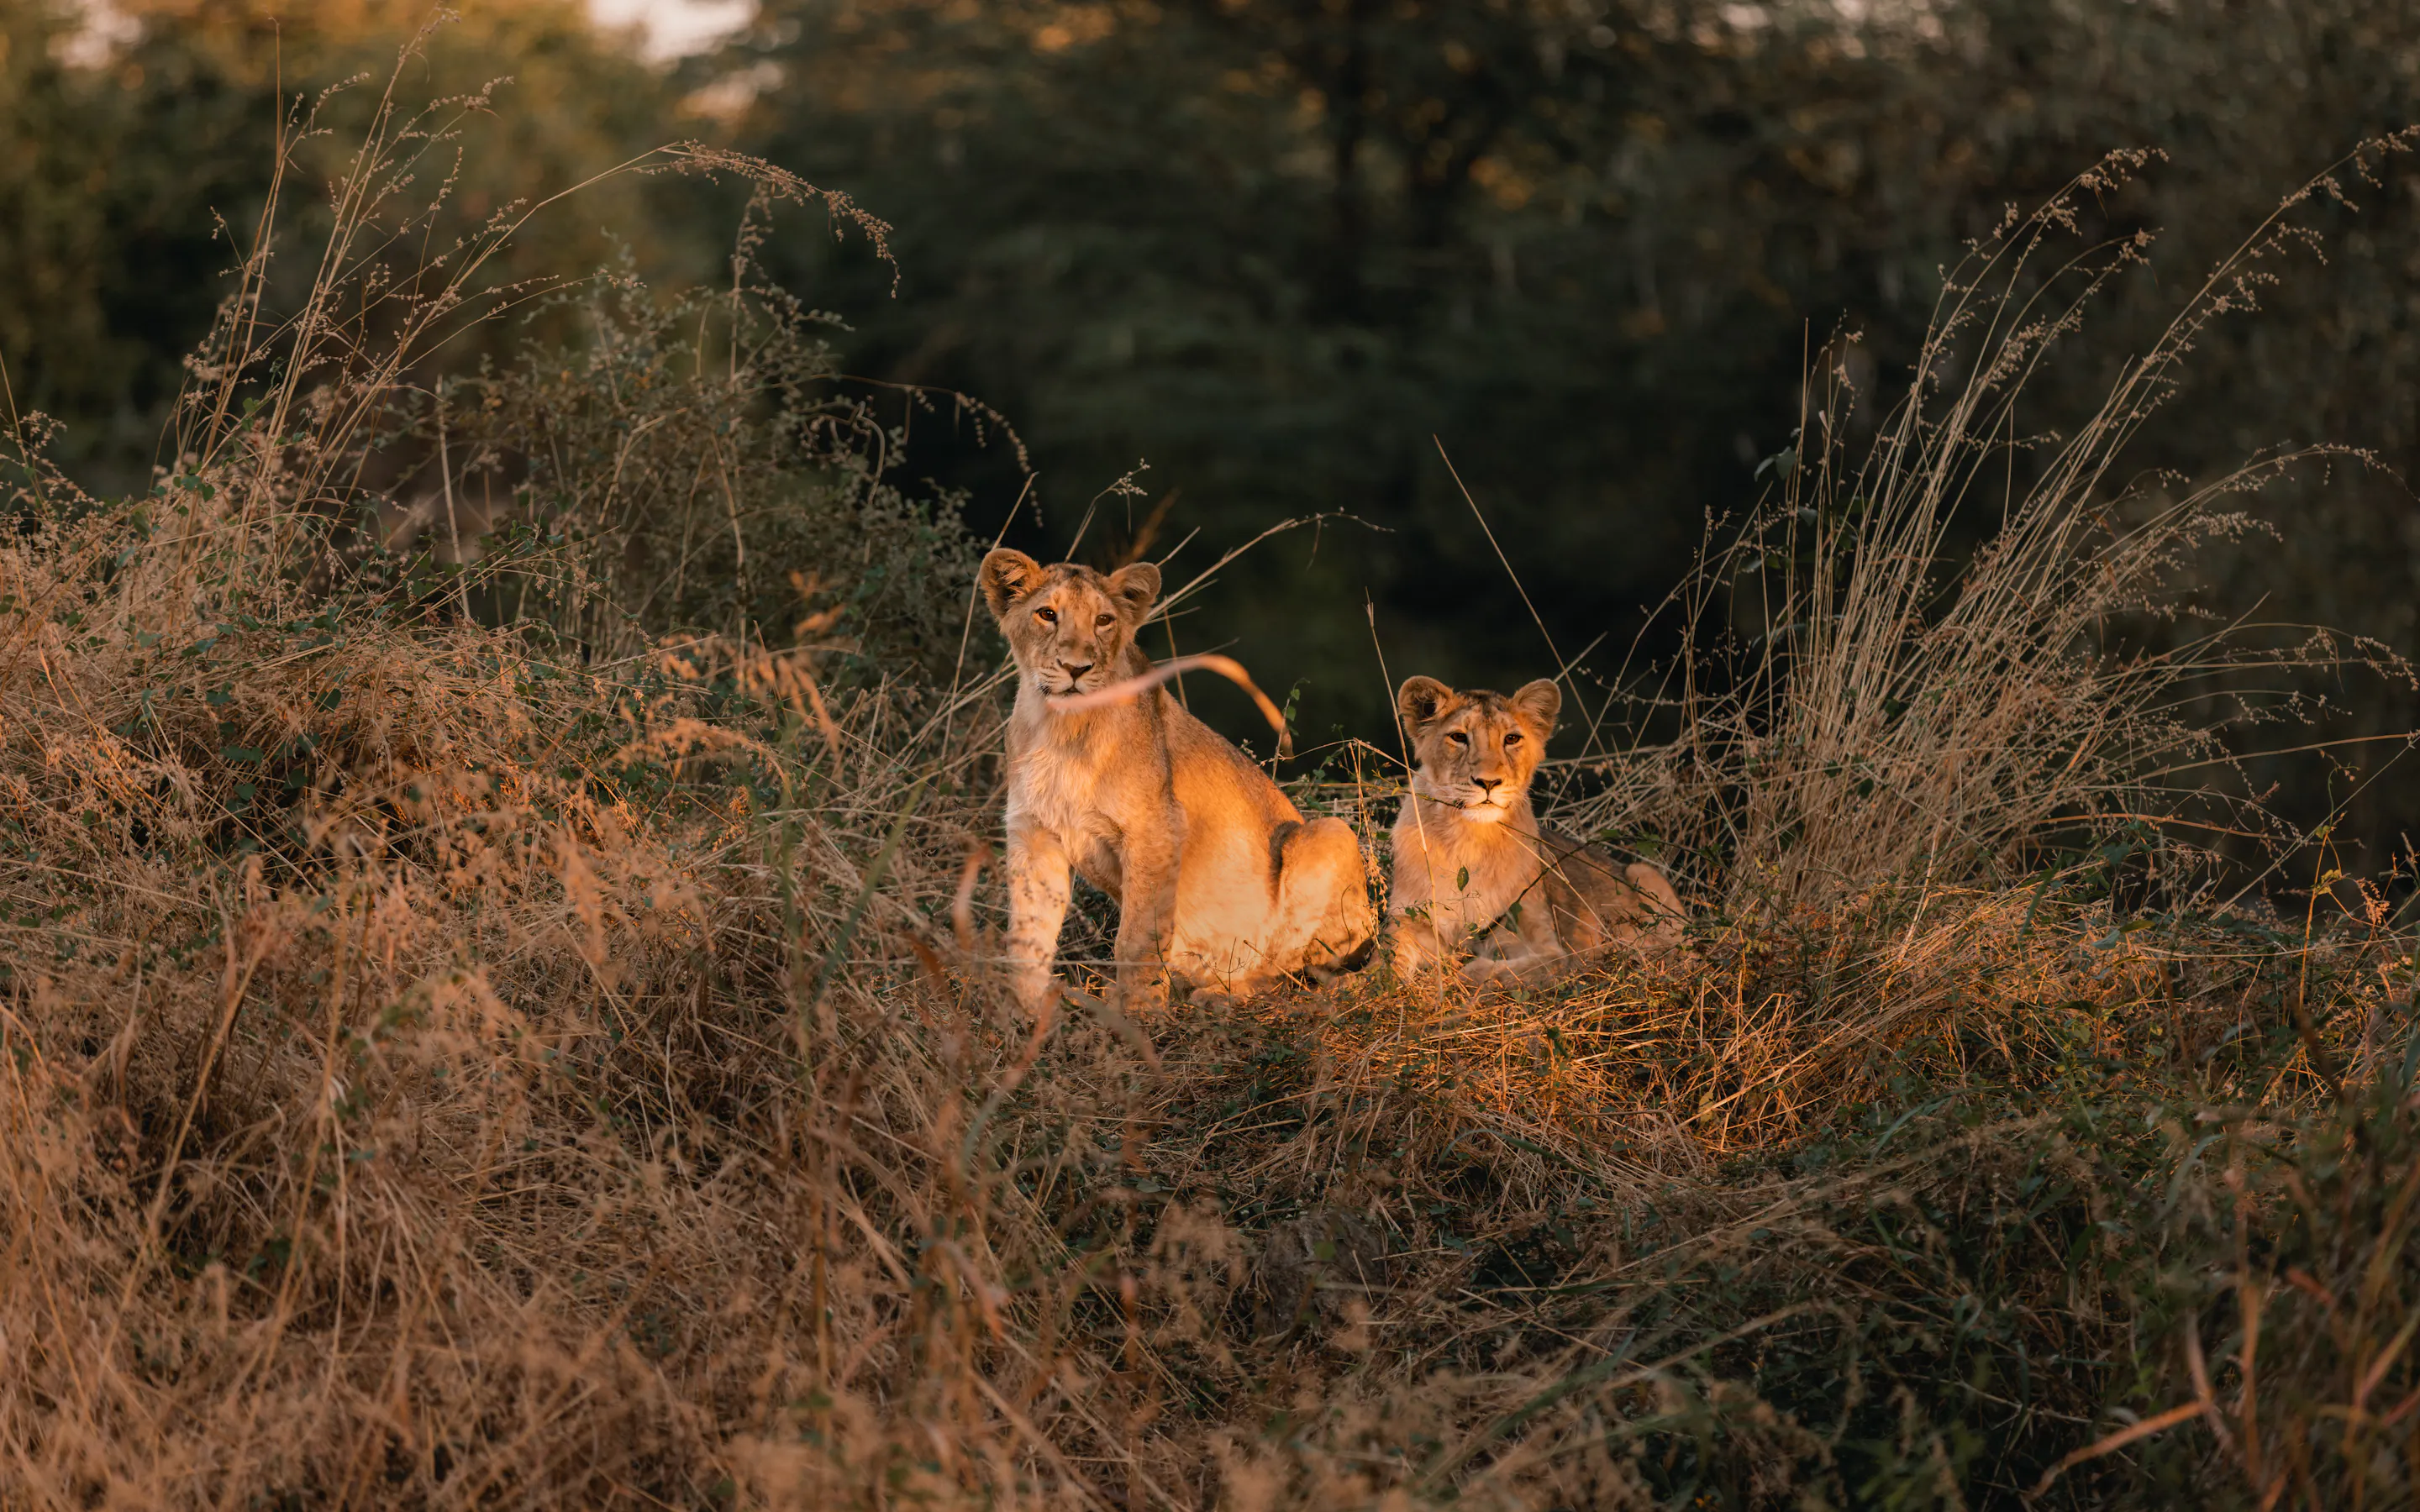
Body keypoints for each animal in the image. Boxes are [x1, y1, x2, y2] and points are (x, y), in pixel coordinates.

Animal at [980, 548, 1376, 1010]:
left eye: (1103, 620)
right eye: (1047, 614)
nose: (1076, 668)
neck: (1062, 728)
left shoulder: (1157, 829)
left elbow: (1137, 938)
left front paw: (1137, 1011)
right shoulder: (1034, 834)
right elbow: (1027, 933)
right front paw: (1023, 1009)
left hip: (1330, 836)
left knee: (1294, 969)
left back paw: (1218, 994)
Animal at [1388, 675, 1685, 984]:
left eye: (1511, 739)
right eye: (1458, 737)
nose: (1488, 782)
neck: (1469, 839)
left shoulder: (1551, 950)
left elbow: (1501, 972)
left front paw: (1459, 976)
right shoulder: (1407, 919)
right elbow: (1386, 962)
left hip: (1645, 873)